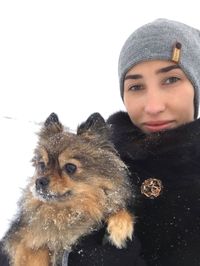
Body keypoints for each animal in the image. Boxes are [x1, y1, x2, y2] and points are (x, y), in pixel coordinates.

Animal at [1, 112, 134, 266]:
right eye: (41, 165)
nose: (39, 181)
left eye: (70, 167)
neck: (67, 213)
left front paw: (120, 227)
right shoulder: (22, 242)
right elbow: (35, 249)